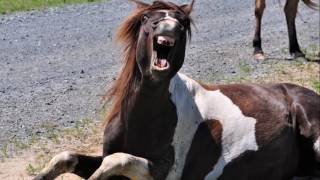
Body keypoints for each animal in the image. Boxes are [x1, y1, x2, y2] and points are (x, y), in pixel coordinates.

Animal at [33, 0, 318, 180]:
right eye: (147, 18)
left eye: (182, 21)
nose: (170, 27)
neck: (145, 119)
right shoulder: (104, 154)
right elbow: (66, 157)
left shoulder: (168, 172)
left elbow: (118, 161)